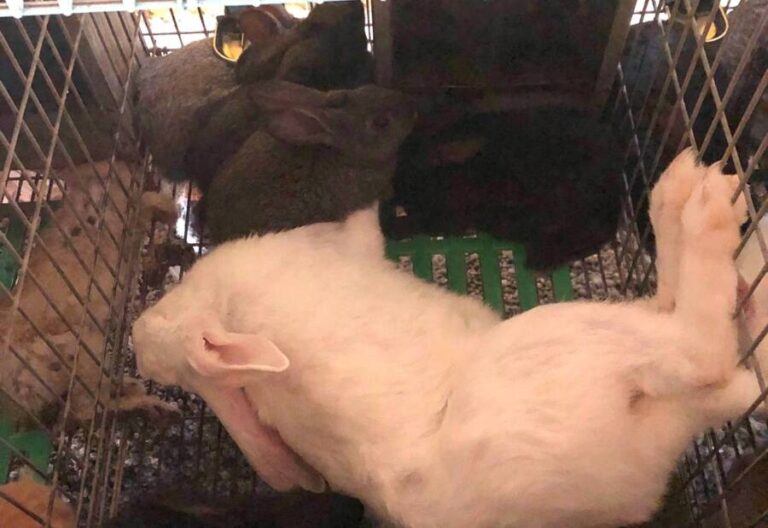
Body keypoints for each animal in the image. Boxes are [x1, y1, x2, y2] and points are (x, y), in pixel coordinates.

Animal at [0, 160, 178, 428]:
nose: (135, 169)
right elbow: (146, 204)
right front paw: (170, 209)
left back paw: (130, 388)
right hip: (84, 347)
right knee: (86, 407)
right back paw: (152, 403)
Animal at [133, 148, 764, 527]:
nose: (137, 338)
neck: (231, 311)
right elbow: (363, 225)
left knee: (684, 326)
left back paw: (682, 201)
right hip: (566, 342)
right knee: (704, 353)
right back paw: (704, 202)